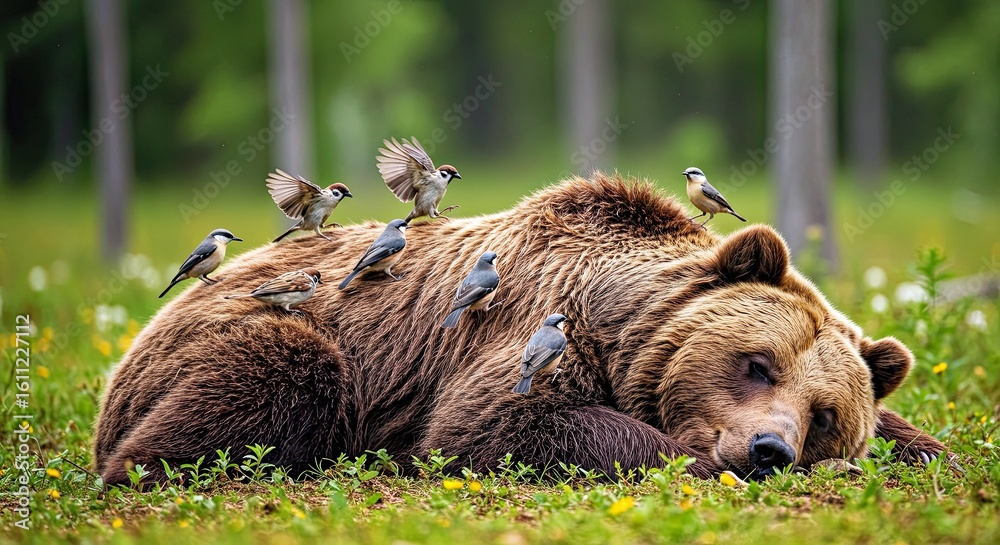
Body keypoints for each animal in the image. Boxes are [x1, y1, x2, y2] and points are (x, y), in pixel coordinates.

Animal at [93, 173, 945, 486]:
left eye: (826, 413)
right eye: (756, 362)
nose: (771, 448)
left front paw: (933, 448)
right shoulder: (540, 331)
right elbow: (495, 425)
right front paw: (700, 461)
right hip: (259, 332)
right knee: (278, 372)